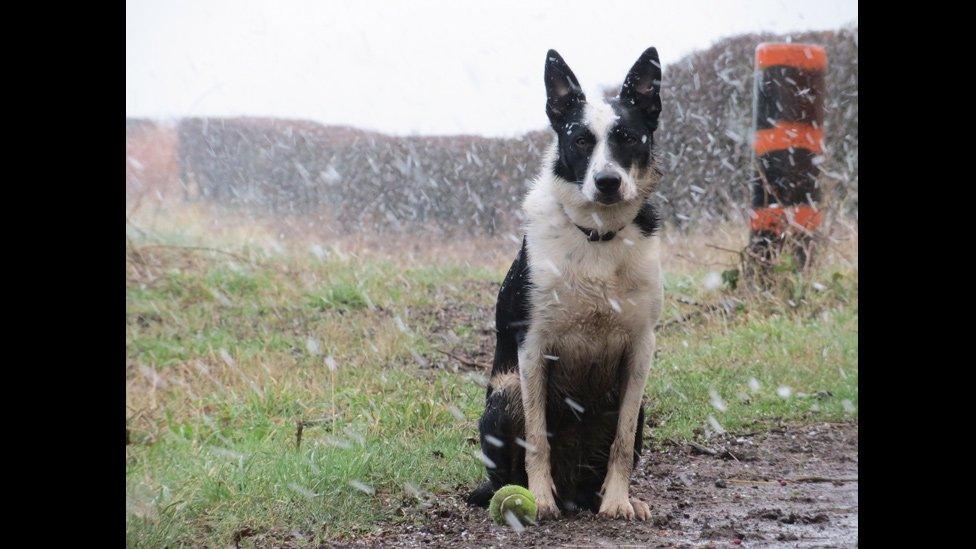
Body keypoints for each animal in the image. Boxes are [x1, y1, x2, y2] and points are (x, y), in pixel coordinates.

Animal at [468, 46, 668, 520]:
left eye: (627, 138)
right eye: (580, 140)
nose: (607, 182)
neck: (597, 234)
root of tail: (573, 487)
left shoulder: (641, 348)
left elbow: (621, 443)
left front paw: (618, 501)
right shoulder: (533, 346)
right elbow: (536, 437)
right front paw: (540, 499)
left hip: (636, 405)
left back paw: (605, 497)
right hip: (504, 393)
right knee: (508, 471)